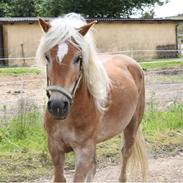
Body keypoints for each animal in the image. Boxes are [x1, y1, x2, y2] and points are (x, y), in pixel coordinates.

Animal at [36, 12, 148, 182]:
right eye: (47, 56)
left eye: (78, 58)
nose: (57, 106)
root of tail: (133, 63)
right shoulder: (55, 149)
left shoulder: (84, 152)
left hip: (132, 125)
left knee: (125, 153)